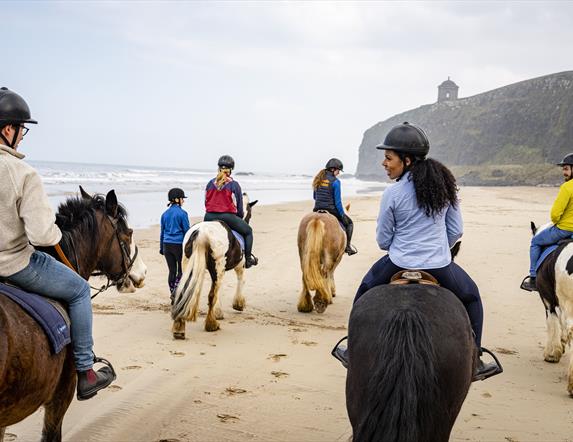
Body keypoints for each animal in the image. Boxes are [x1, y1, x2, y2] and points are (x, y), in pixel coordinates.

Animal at [171, 193, 258, 334]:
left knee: (183, 290)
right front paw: (238, 304)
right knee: (211, 295)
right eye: (249, 212)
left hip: (189, 266)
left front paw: (219, 311)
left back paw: (179, 327)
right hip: (217, 268)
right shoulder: (239, 266)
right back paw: (211, 324)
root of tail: (200, 232)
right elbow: (241, 280)